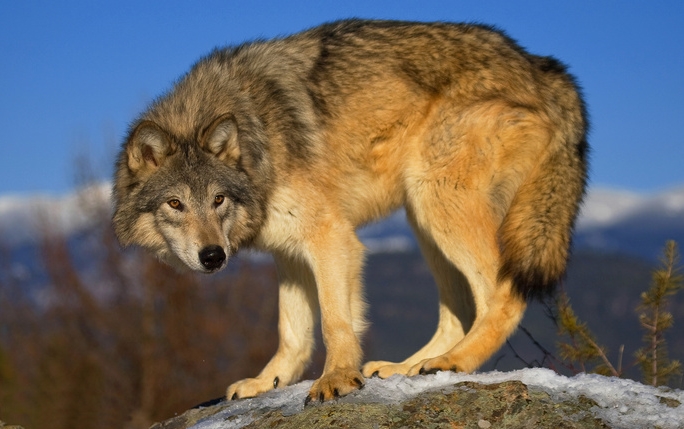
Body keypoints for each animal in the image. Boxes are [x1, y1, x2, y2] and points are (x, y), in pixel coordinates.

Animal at [112, 19, 588, 403]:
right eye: (175, 203)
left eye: (218, 200)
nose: (213, 256)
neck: (257, 134)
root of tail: (542, 66)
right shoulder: (288, 252)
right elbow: (292, 332)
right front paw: (267, 383)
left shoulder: (331, 237)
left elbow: (335, 321)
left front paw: (337, 378)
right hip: (423, 219)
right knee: (460, 312)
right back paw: (408, 368)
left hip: (438, 201)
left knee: (501, 295)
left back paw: (455, 362)